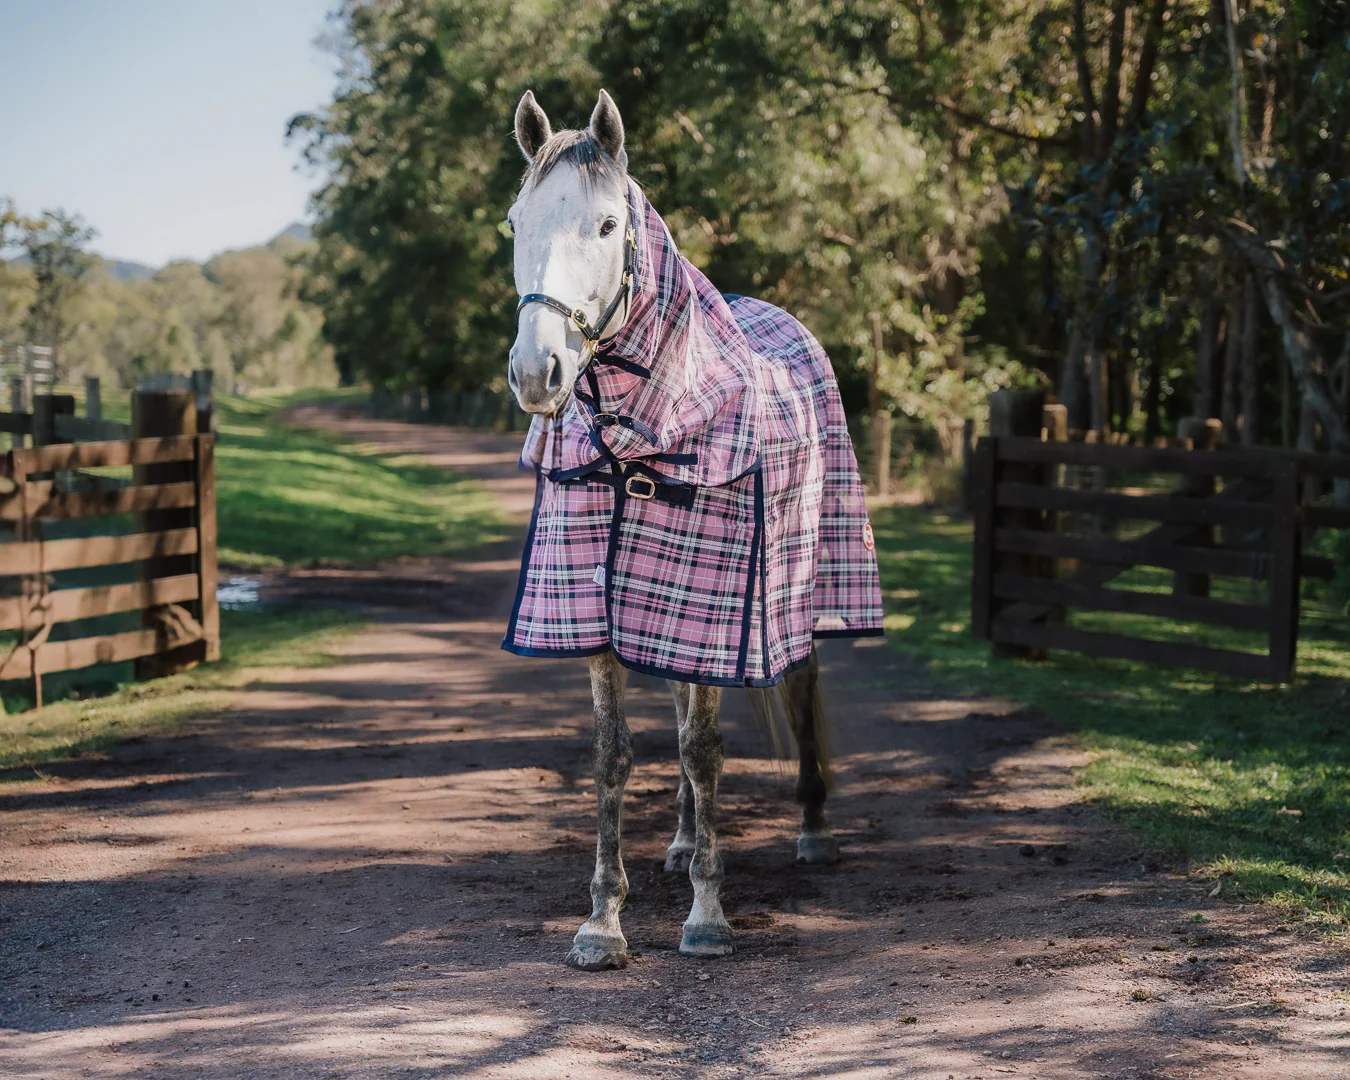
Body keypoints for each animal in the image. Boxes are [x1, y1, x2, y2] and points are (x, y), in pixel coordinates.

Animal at [503, 89, 883, 971]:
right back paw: (679, 843)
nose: (537, 373)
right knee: (679, 705)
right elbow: (615, 752)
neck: (642, 436)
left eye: (608, 224)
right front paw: (602, 922)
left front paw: (708, 917)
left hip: (798, 594)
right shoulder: (604, 610)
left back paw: (812, 828)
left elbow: (704, 750)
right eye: (514, 221)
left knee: (799, 687)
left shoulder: (720, 612)